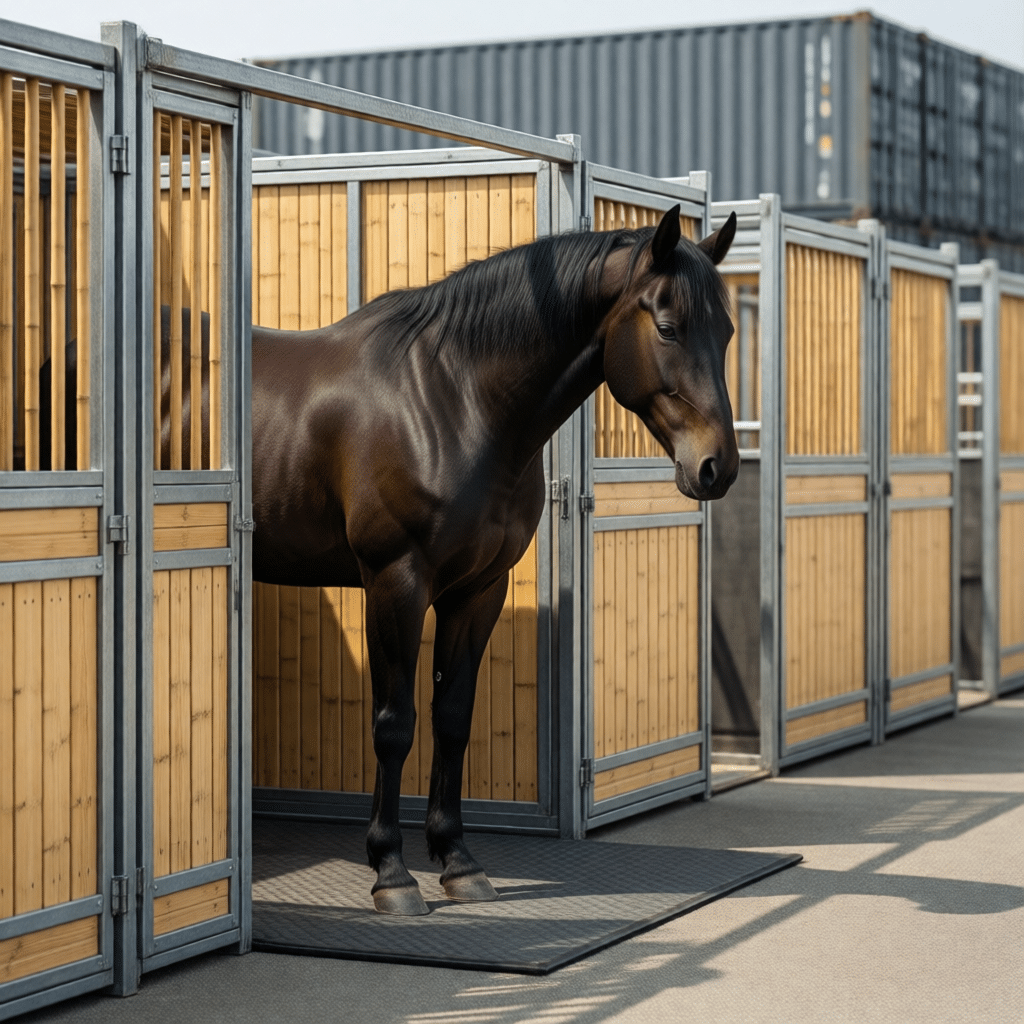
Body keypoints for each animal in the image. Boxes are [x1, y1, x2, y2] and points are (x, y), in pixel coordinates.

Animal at [45, 204, 739, 915]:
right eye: (668, 328)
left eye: (728, 330)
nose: (717, 467)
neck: (455, 401)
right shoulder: (395, 583)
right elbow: (394, 723)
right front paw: (392, 871)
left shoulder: (478, 590)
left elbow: (453, 718)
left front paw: (458, 861)